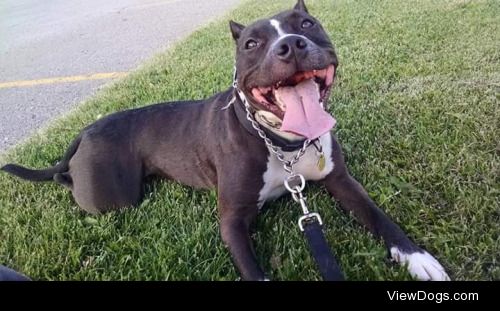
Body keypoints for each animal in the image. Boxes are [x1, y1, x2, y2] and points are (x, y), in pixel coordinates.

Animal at [0, 0, 454, 282]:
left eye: (307, 25)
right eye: (252, 43)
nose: (291, 45)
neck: (282, 144)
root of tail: (85, 131)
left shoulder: (340, 180)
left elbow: (379, 216)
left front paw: (418, 258)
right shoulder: (233, 218)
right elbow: (253, 269)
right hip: (112, 198)